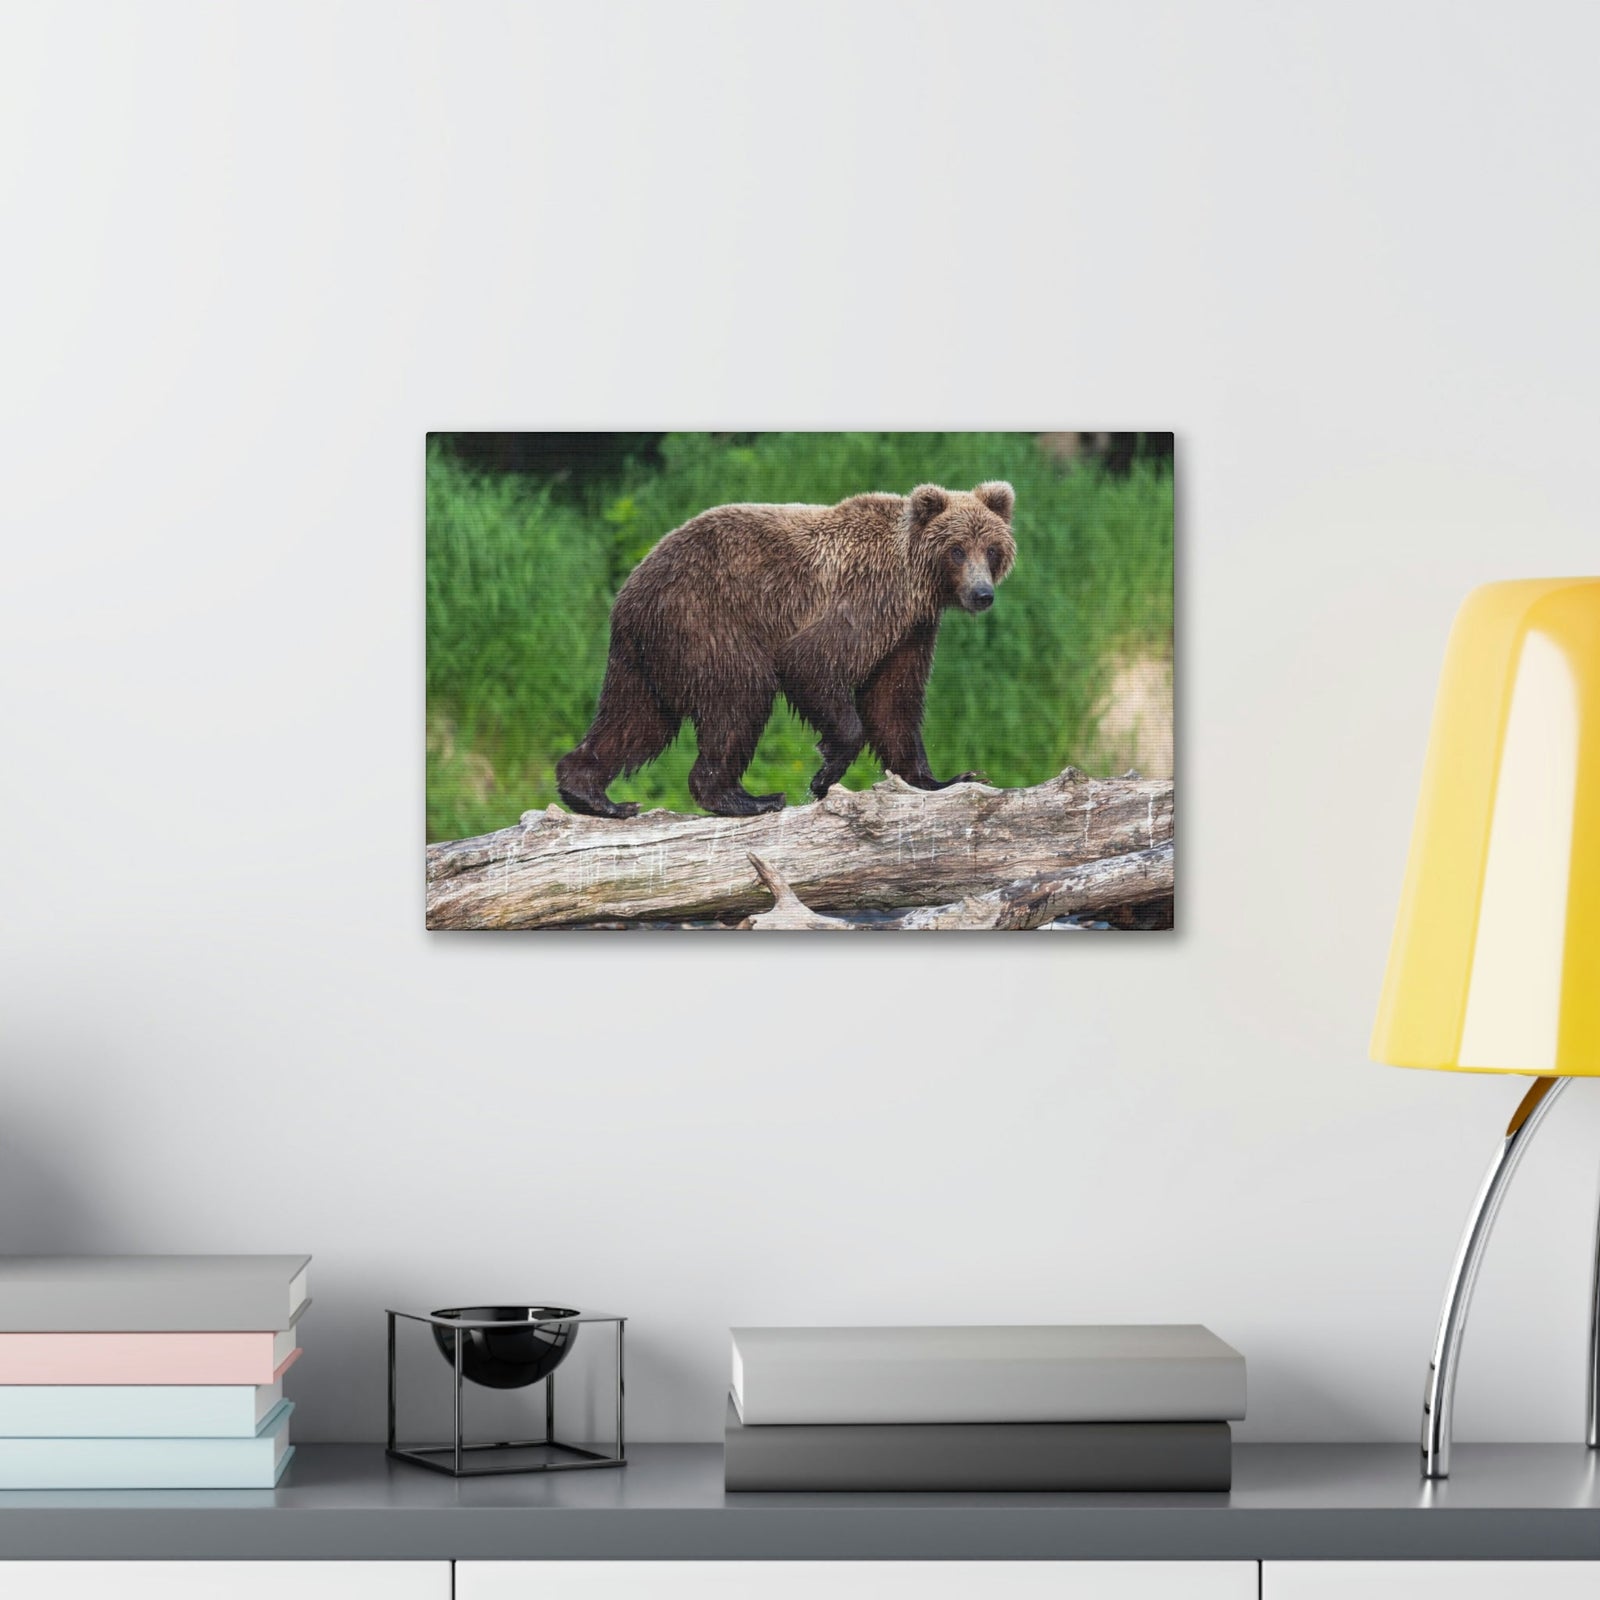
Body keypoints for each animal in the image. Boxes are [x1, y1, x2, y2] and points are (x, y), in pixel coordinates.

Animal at [555, 481, 1017, 819]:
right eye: (957, 549)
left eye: (992, 549)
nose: (982, 594)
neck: (916, 584)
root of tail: (628, 591)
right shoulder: (866, 601)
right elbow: (811, 662)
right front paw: (824, 775)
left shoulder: (911, 631)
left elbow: (893, 703)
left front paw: (948, 778)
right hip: (706, 621)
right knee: (740, 697)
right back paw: (747, 798)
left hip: (649, 657)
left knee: (635, 721)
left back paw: (593, 794)